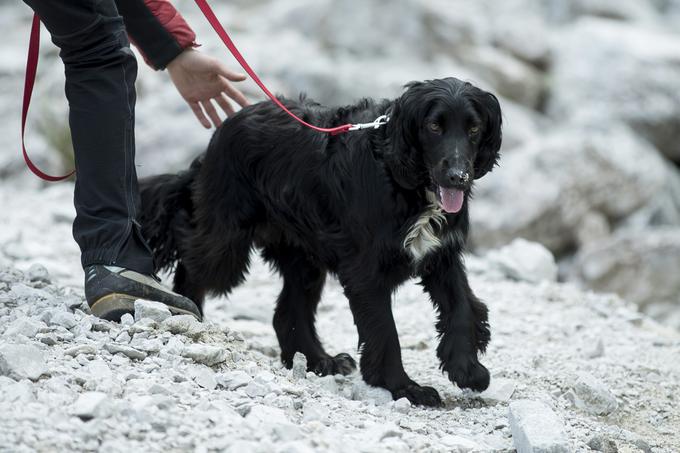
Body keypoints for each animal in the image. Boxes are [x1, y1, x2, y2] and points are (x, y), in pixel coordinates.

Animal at [139, 77, 500, 406]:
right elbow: (386, 331)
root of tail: (218, 135)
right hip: (226, 240)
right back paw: (190, 317)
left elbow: (461, 306)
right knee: (192, 260)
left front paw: (467, 370)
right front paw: (404, 388)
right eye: (434, 126)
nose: (458, 177)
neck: (403, 179)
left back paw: (319, 361)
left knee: (288, 311)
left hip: (303, 255)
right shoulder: (366, 270)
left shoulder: (442, 255)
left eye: (474, 128)